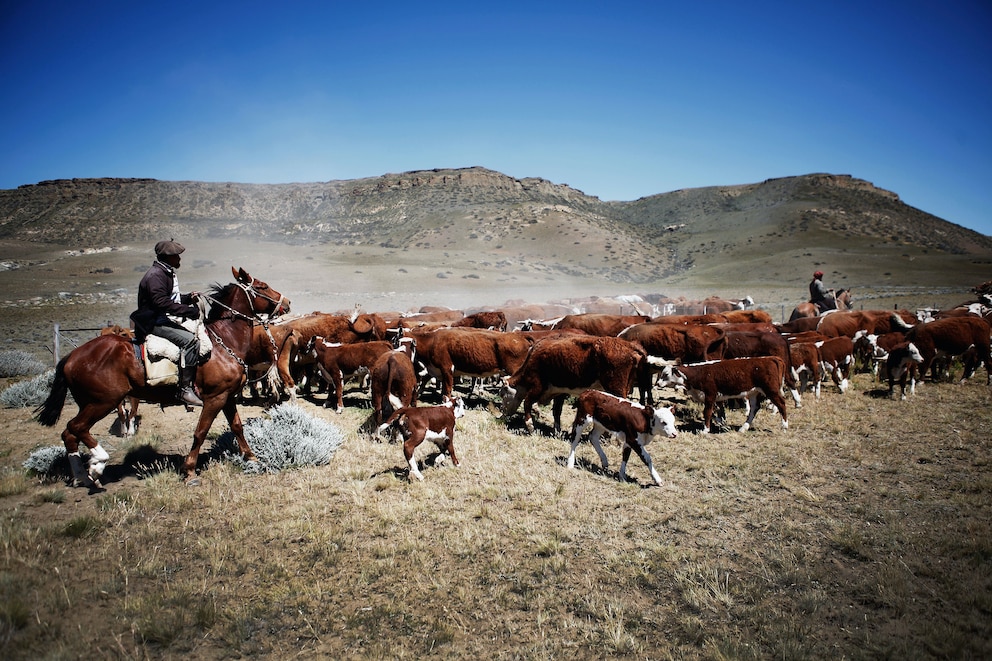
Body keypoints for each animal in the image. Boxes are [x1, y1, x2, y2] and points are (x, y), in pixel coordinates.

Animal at [35, 266, 290, 488]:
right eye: (263, 286)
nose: (286, 302)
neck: (223, 342)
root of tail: (72, 356)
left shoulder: (227, 396)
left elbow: (237, 427)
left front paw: (252, 457)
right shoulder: (214, 398)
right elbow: (200, 432)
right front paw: (189, 470)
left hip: (87, 402)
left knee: (69, 433)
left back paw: (83, 476)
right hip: (102, 402)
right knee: (76, 427)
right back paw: (98, 464)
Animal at [504, 336, 652, 434]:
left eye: (502, 392)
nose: (503, 412)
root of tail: (629, 345)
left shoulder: (537, 386)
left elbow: (527, 402)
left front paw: (530, 426)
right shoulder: (560, 391)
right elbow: (557, 411)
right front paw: (557, 430)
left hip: (616, 389)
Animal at [656, 356, 788, 434]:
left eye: (666, 374)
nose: (657, 383)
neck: (699, 373)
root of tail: (772, 358)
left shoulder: (710, 394)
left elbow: (707, 412)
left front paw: (705, 430)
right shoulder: (716, 398)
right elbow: (718, 412)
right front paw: (721, 422)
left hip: (771, 390)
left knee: (781, 404)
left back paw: (784, 426)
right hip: (753, 392)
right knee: (754, 408)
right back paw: (743, 428)